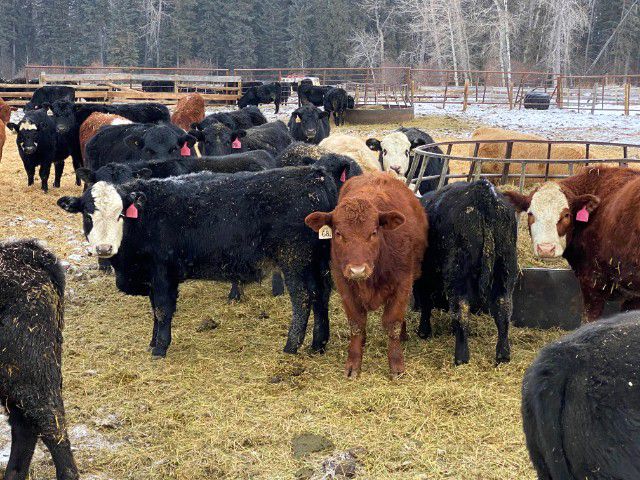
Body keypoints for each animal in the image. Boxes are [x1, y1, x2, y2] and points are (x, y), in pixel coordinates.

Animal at [57, 160, 361, 358]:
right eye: (87, 214)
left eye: (121, 214)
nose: (104, 248)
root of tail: (315, 175)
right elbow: (155, 309)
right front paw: (153, 342)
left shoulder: (162, 272)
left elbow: (162, 309)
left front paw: (160, 348)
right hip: (316, 262)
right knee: (321, 295)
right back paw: (318, 345)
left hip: (294, 260)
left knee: (303, 299)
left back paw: (291, 346)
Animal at [305, 172, 428, 377]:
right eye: (338, 233)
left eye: (373, 232)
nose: (358, 270)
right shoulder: (344, 285)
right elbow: (356, 324)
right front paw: (354, 362)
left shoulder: (403, 284)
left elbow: (393, 323)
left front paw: (396, 363)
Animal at [413, 180, 518, 365]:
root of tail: (482, 191)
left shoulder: (423, 277)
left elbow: (426, 303)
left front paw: (424, 331)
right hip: (505, 267)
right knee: (503, 307)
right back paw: (503, 354)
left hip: (458, 271)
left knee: (461, 309)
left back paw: (461, 357)